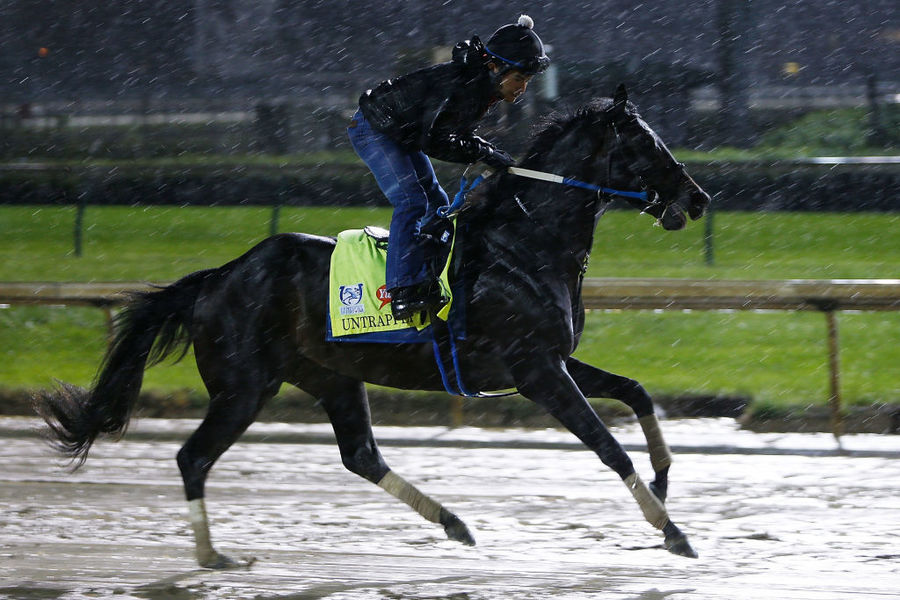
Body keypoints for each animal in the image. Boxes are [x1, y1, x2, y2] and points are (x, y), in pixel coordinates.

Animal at [35, 85, 710, 568]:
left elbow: (636, 393)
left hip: (331, 375)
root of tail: (221, 275)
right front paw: (671, 530)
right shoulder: (536, 371)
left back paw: (454, 523)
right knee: (192, 457)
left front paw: (664, 478)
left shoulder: (554, 360)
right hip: (244, 386)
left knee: (360, 454)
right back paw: (212, 556)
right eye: (646, 145)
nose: (699, 198)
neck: (524, 244)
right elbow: (607, 445)